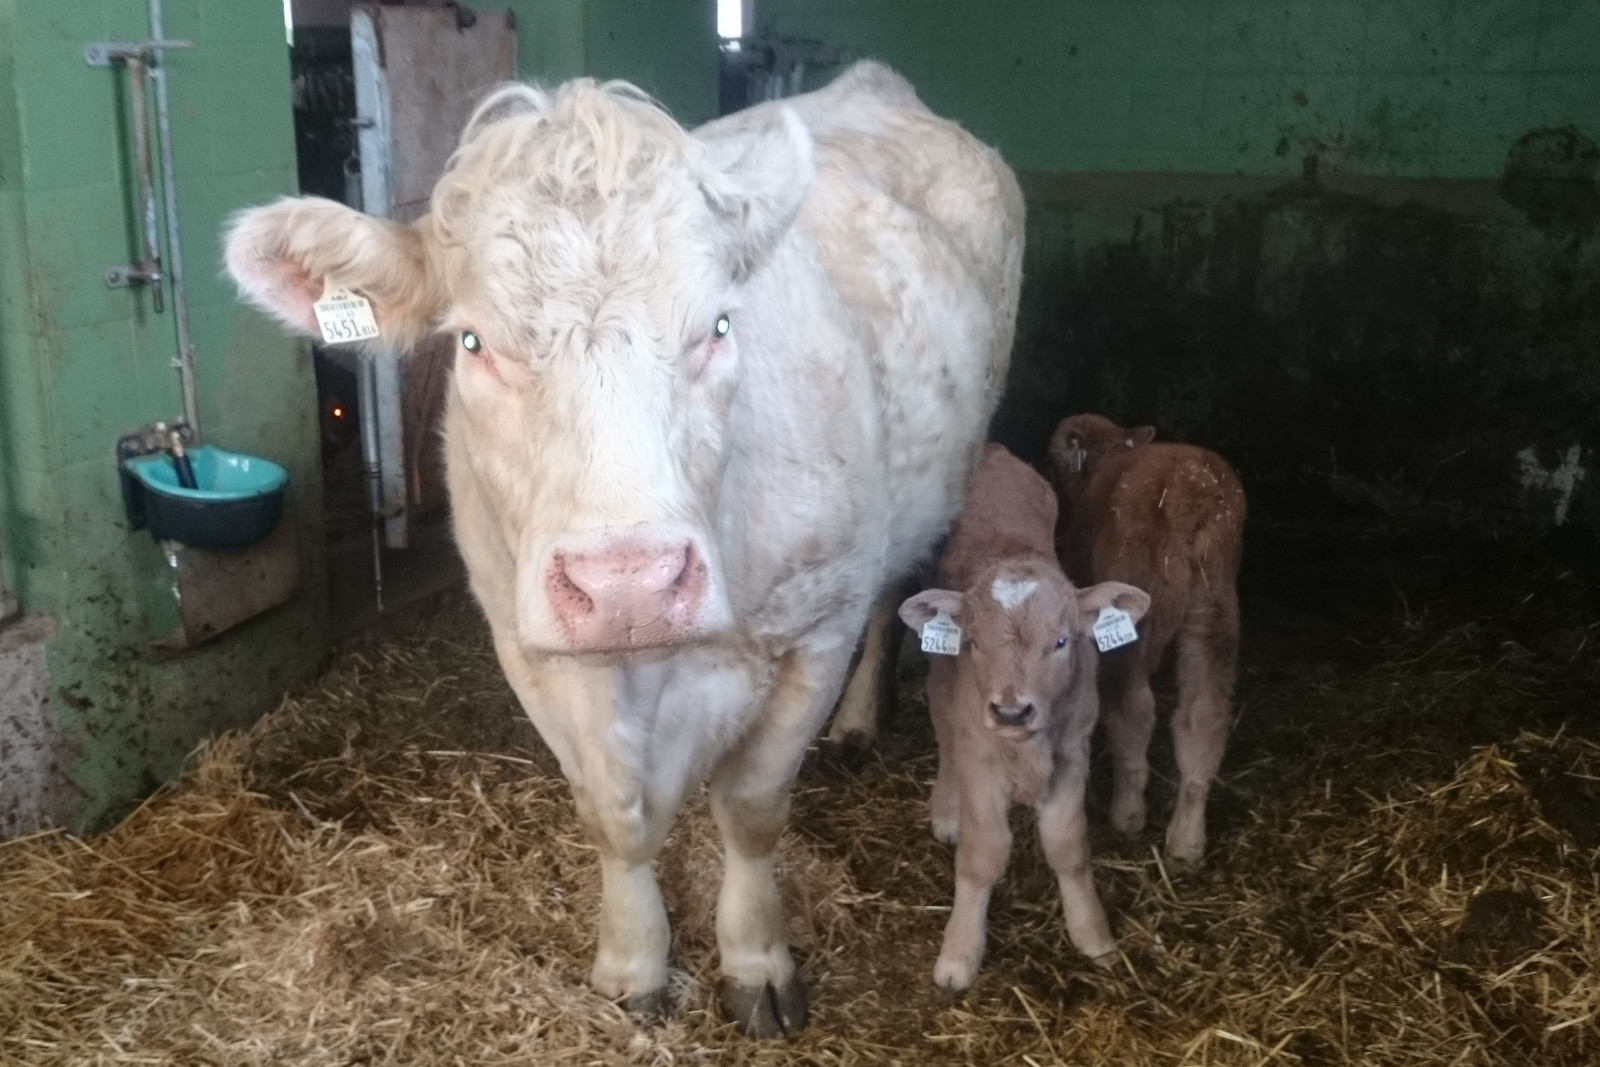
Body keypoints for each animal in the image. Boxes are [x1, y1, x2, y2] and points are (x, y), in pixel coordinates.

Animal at [222, 62, 1022, 1037]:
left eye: (719, 326)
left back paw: (863, 721)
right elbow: (612, 816)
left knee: (891, 595)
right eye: (473, 339)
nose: (628, 583)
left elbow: (752, 806)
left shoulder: (815, 629)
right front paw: (633, 962)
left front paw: (755, 960)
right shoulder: (528, 644)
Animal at [898, 444, 1149, 991]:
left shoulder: (1074, 753)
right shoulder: (979, 756)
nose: (1011, 711)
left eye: (1061, 642)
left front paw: (1093, 934)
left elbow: (1068, 847)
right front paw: (960, 952)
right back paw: (946, 808)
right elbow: (983, 855)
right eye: (974, 642)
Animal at [1046, 414, 1247, 866]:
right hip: (1213, 610)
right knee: (1204, 714)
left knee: (1132, 707)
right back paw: (1187, 837)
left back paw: (1128, 813)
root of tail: (1192, 492)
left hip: (1136, 606)